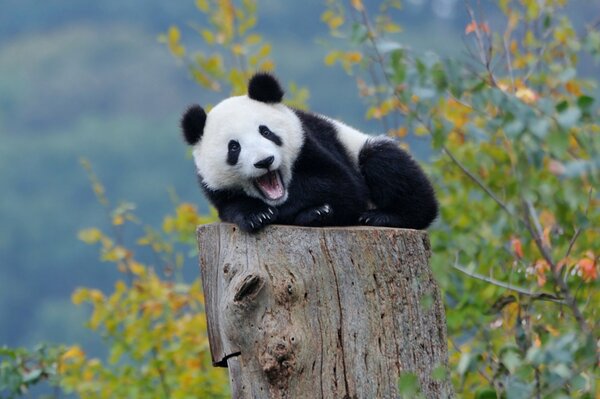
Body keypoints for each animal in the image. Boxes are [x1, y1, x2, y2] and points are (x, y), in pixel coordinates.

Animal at [180, 73, 438, 233]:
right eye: (234, 147)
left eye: (266, 131)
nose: (265, 161)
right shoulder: (215, 188)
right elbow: (231, 207)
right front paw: (257, 215)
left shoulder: (312, 142)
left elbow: (342, 185)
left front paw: (303, 210)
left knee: (385, 163)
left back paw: (382, 216)